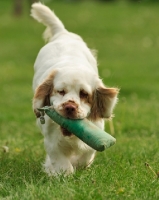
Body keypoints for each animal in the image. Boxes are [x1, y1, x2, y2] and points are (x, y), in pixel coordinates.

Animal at [30, 2, 118, 176]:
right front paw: (62, 173)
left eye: (84, 94)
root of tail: (63, 33)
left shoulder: (96, 130)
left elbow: (87, 154)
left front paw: (78, 164)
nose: (70, 107)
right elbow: (60, 162)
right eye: (60, 91)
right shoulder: (51, 140)